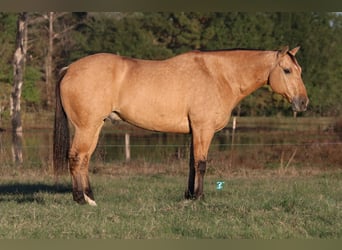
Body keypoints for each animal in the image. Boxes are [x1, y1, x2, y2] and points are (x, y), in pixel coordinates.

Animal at [53, 46, 310, 206]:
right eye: (287, 70)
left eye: (299, 70)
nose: (303, 103)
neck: (219, 76)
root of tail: (70, 68)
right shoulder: (203, 129)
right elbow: (202, 164)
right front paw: (199, 197)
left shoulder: (194, 131)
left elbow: (191, 164)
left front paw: (188, 195)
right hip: (87, 127)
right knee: (77, 157)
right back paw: (81, 199)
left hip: (94, 127)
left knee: (84, 159)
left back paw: (90, 197)